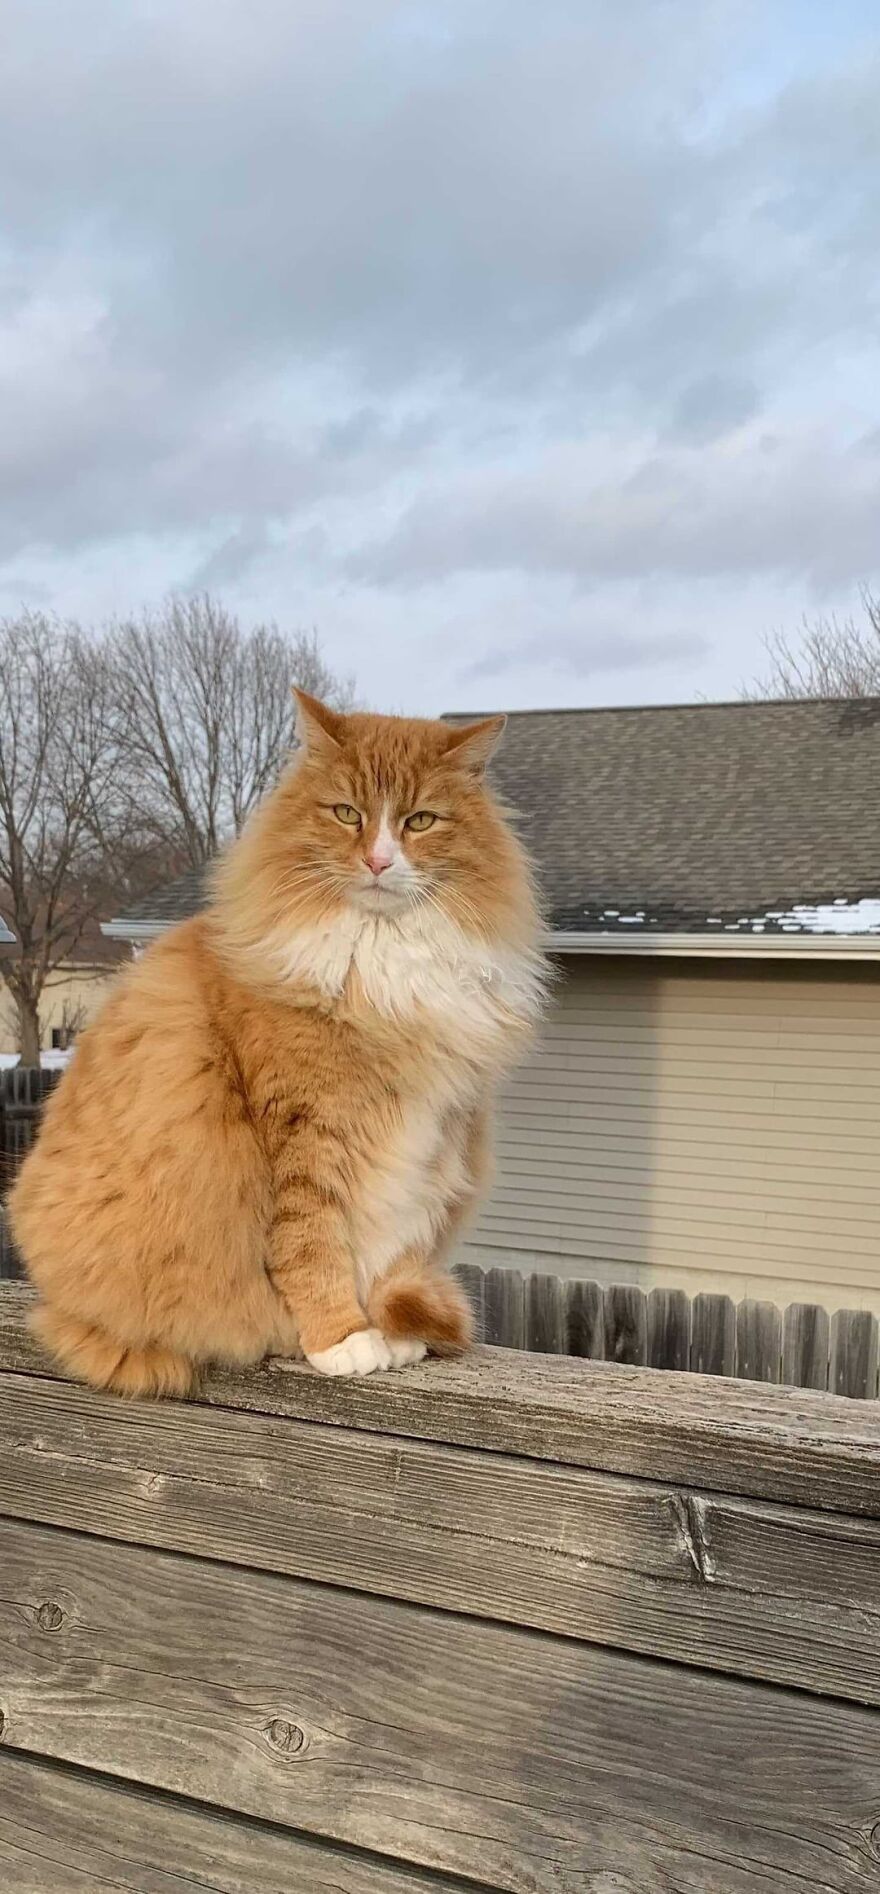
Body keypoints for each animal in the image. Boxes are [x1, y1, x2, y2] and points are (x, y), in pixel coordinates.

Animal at [8, 693, 541, 1393]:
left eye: (421, 821)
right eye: (347, 813)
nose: (378, 861)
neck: (379, 966)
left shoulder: (428, 1141)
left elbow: (394, 1252)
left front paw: (389, 1332)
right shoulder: (304, 1133)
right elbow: (311, 1246)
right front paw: (342, 1339)